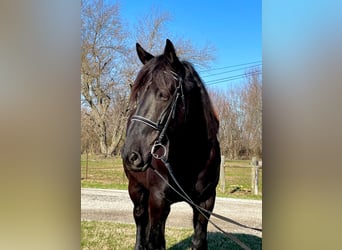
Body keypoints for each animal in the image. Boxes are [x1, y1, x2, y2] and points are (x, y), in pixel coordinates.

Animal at [121, 39, 220, 250]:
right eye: (137, 95)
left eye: (164, 95)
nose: (131, 155)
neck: (191, 157)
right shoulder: (158, 200)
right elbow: (154, 241)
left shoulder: (206, 203)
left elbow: (199, 241)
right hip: (136, 188)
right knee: (140, 219)